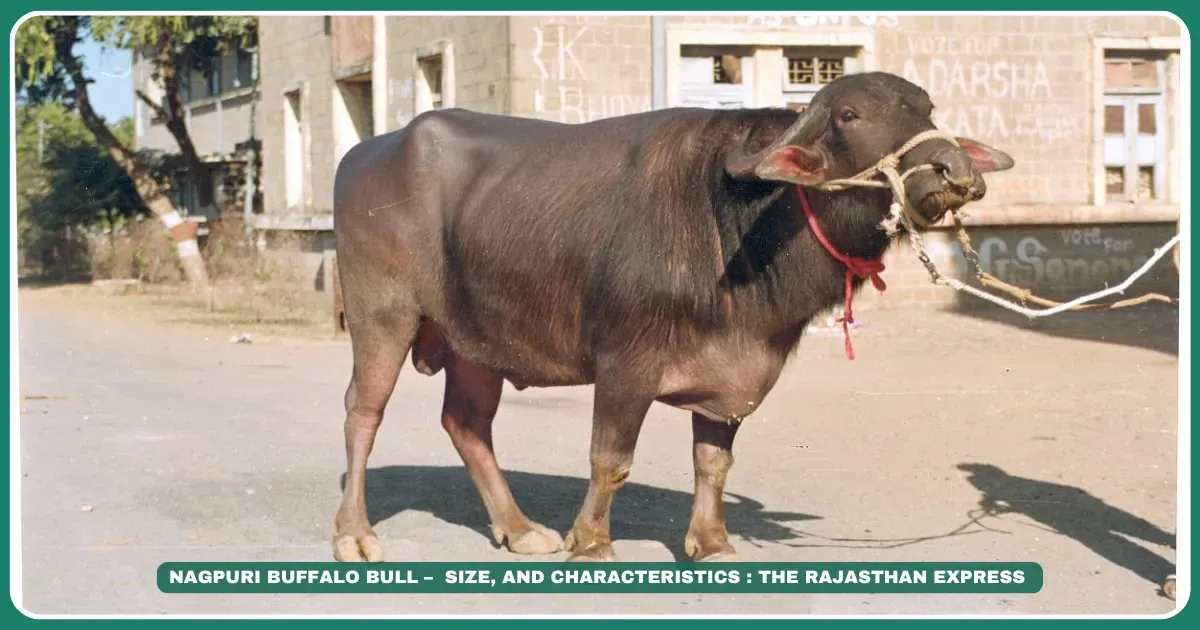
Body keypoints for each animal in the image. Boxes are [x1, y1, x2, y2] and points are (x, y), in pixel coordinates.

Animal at [330, 71, 1014, 562]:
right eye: (850, 116)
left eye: (927, 111)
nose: (954, 171)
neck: (735, 226)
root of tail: (369, 153)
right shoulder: (624, 364)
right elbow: (610, 459)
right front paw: (592, 544)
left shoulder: (734, 374)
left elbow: (713, 461)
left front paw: (713, 544)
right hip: (381, 314)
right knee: (363, 413)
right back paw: (354, 534)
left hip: (477, 341)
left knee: (467, 423)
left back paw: (520, 529)